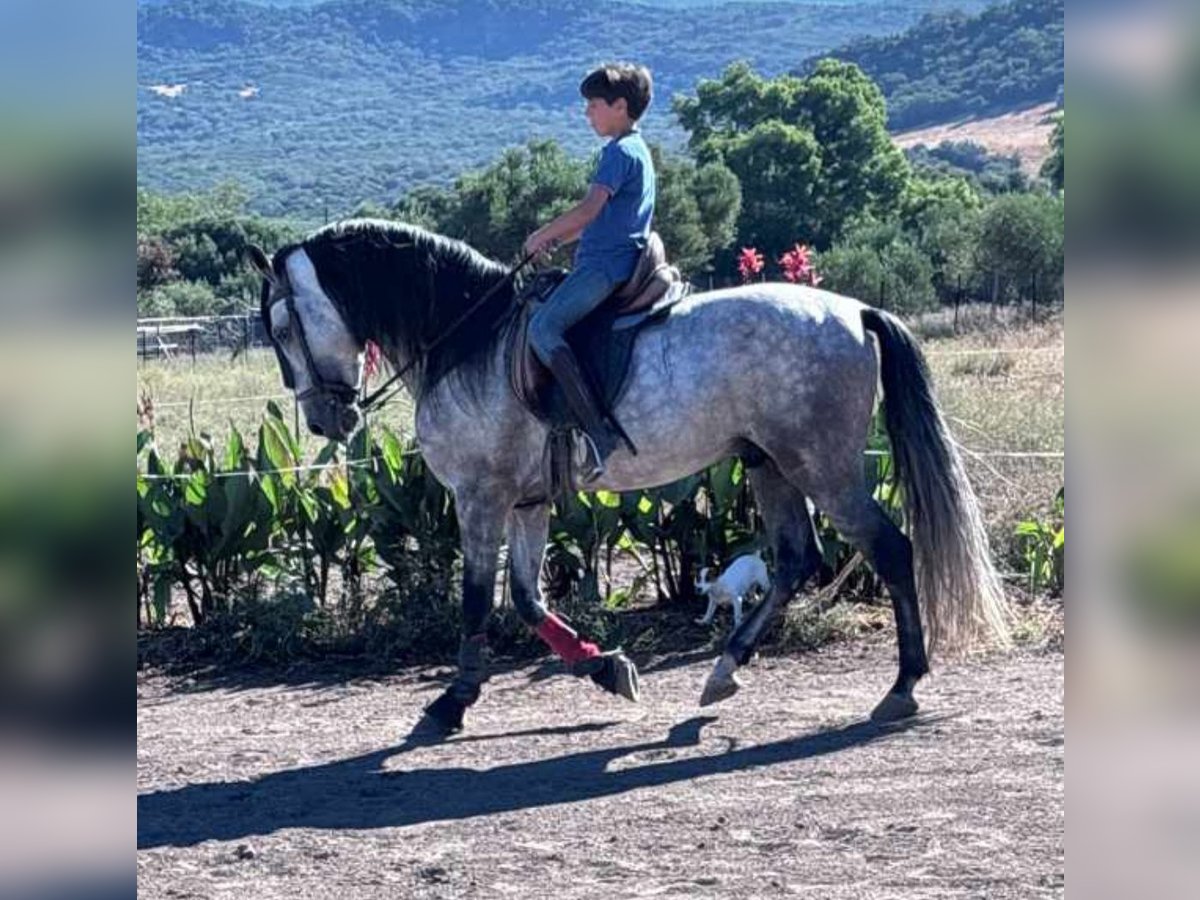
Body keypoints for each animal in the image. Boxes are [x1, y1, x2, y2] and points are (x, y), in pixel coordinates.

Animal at [248, 220, 1008, 739]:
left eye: (282, 327)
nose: (323, 420)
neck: (466, 340)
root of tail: (853, 310)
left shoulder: (480, 496)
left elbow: (476, 600)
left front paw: (450, 704)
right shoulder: (526, 502)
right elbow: (527, 600)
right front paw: (607, 669)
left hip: (822, 467)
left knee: (890, 551)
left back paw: (902, 686)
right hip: (769, 463)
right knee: (797, 557)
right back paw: (724, 671)